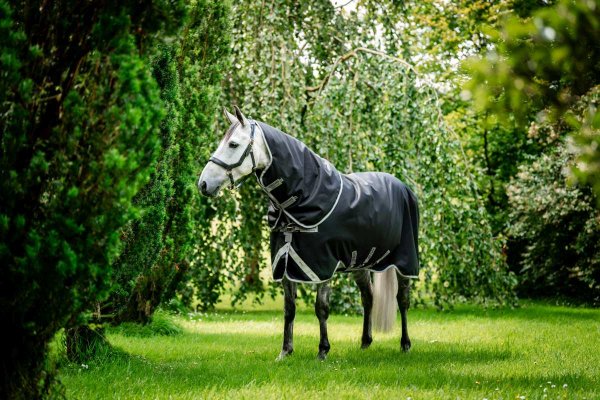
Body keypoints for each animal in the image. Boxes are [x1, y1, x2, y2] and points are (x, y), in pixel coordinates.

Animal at [199, 105, 420, 360]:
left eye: (233, 144)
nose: (203, 184)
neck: (303, 198)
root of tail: (402, 186)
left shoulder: (323, 266)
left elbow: (321, 308)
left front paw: (323, 351)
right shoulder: (285, 262)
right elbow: (289, 309)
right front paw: (285, 352)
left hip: (404, 261)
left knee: (402, 300)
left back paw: (405, 344)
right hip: (360, 263)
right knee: (368, 297)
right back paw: (365, 343)